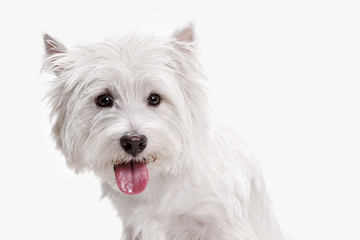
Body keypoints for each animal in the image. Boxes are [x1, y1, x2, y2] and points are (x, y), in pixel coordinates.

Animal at [43, 23, 284, 240]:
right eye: (104, 100)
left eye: (154, 98)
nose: (134, 142)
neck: (158, 181)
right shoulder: (135, 225)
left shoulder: (225, 223)